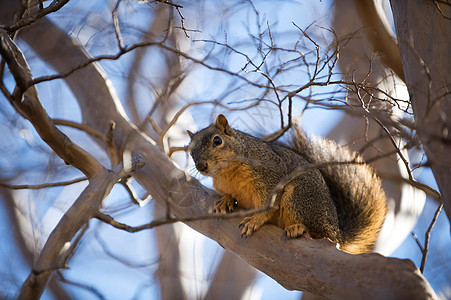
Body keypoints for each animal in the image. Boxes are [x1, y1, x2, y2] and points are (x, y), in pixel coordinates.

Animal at [187, 114, 388, 253]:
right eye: (190, 151)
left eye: (217, 140)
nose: (202, 167)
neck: (226, 172)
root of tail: (337, 230)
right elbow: (227, 194)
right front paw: (225, 200)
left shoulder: (270, 177)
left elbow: (268, 206)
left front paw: (255, 220)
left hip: (300, 196)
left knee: (319, 234)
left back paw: (299, 228)